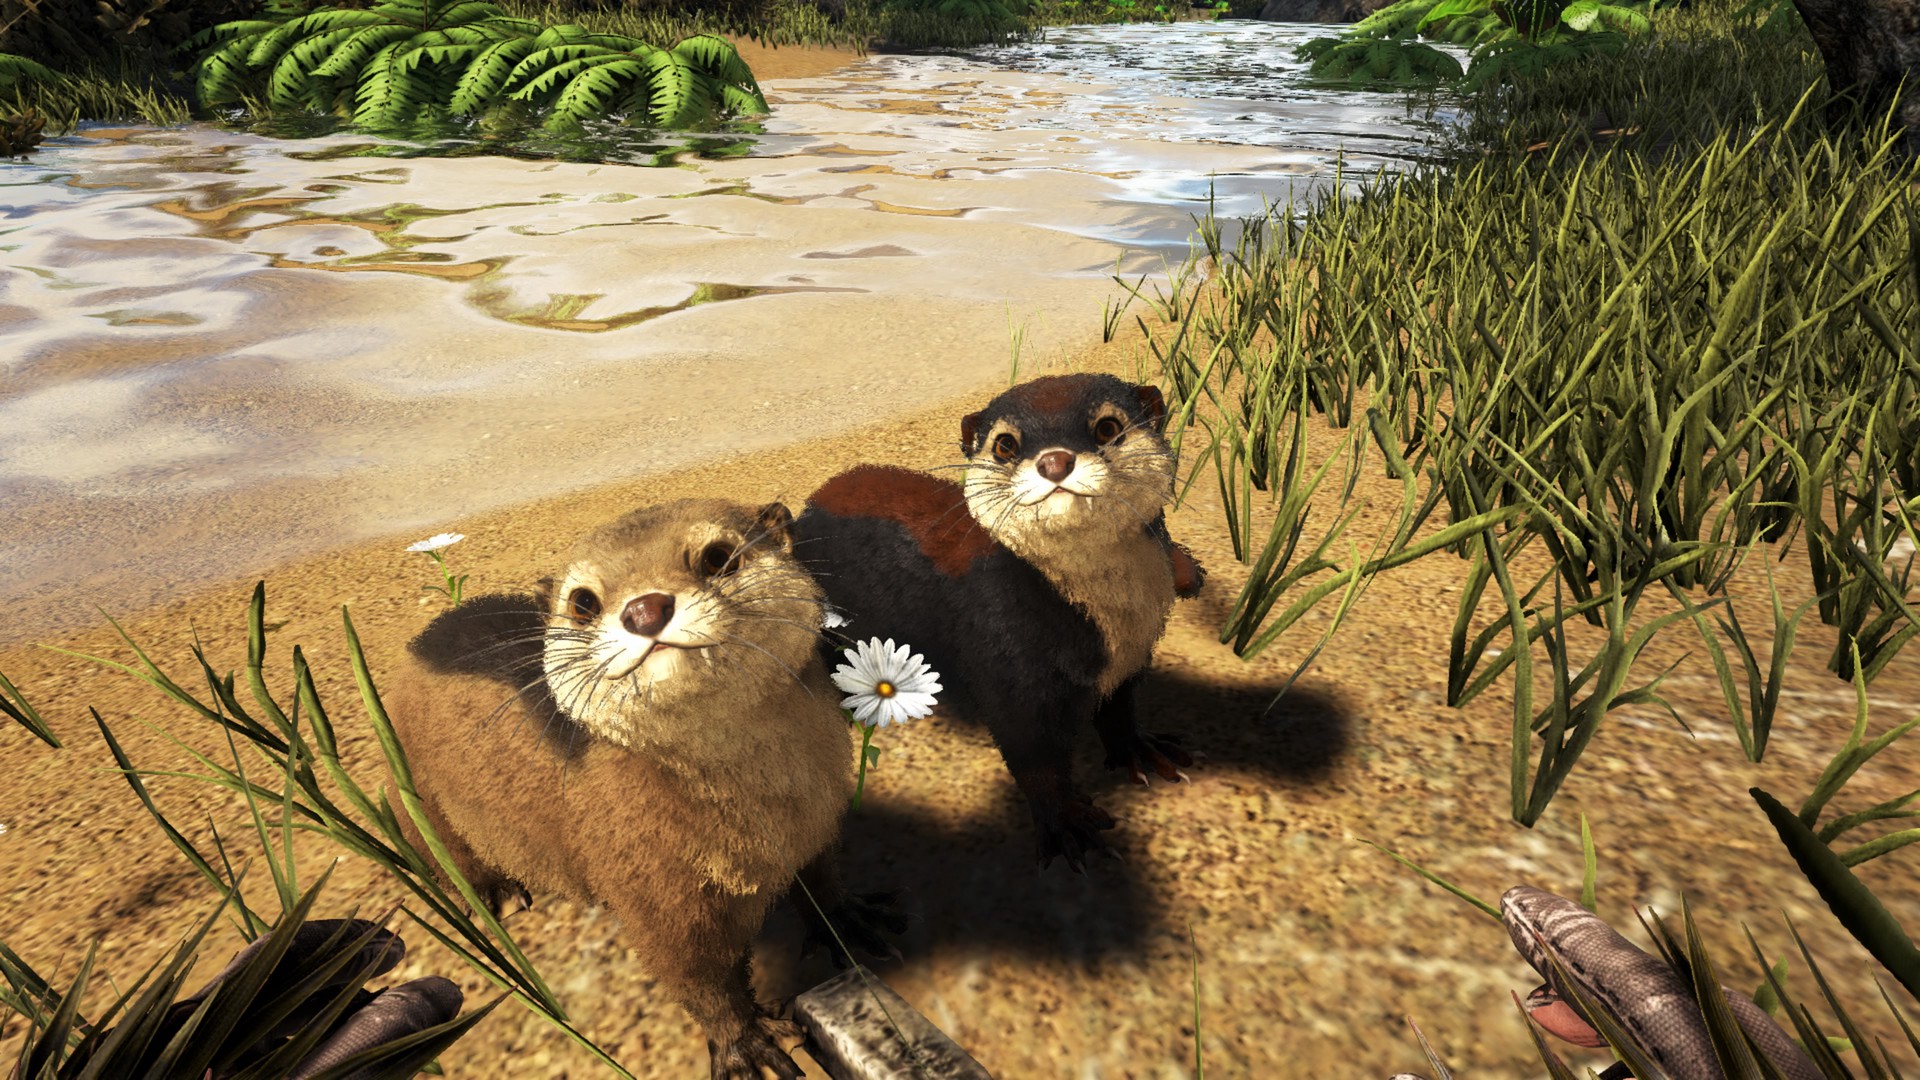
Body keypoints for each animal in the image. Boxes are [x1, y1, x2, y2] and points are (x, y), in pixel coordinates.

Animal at [381, 498, 900, 1080]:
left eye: (717, 557)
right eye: (583, 601)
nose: (646, 610)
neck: (766, 825)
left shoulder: (819, 824)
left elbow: (824, 877)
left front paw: (848, 920)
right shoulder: (656, 899)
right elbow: (700, 981)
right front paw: (747, 1045)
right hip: (411, 785)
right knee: (442, 850)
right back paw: (495, 893)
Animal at [791, 374, 1205, 873]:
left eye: (1108, 426)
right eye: (1005, 443)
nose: (1054, 461)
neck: (1112, 626)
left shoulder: (1133, 656)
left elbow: (1119, 711)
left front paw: (1140, 751)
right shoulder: (1004, 658)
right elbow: (1033, 756)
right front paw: (1067, 824)